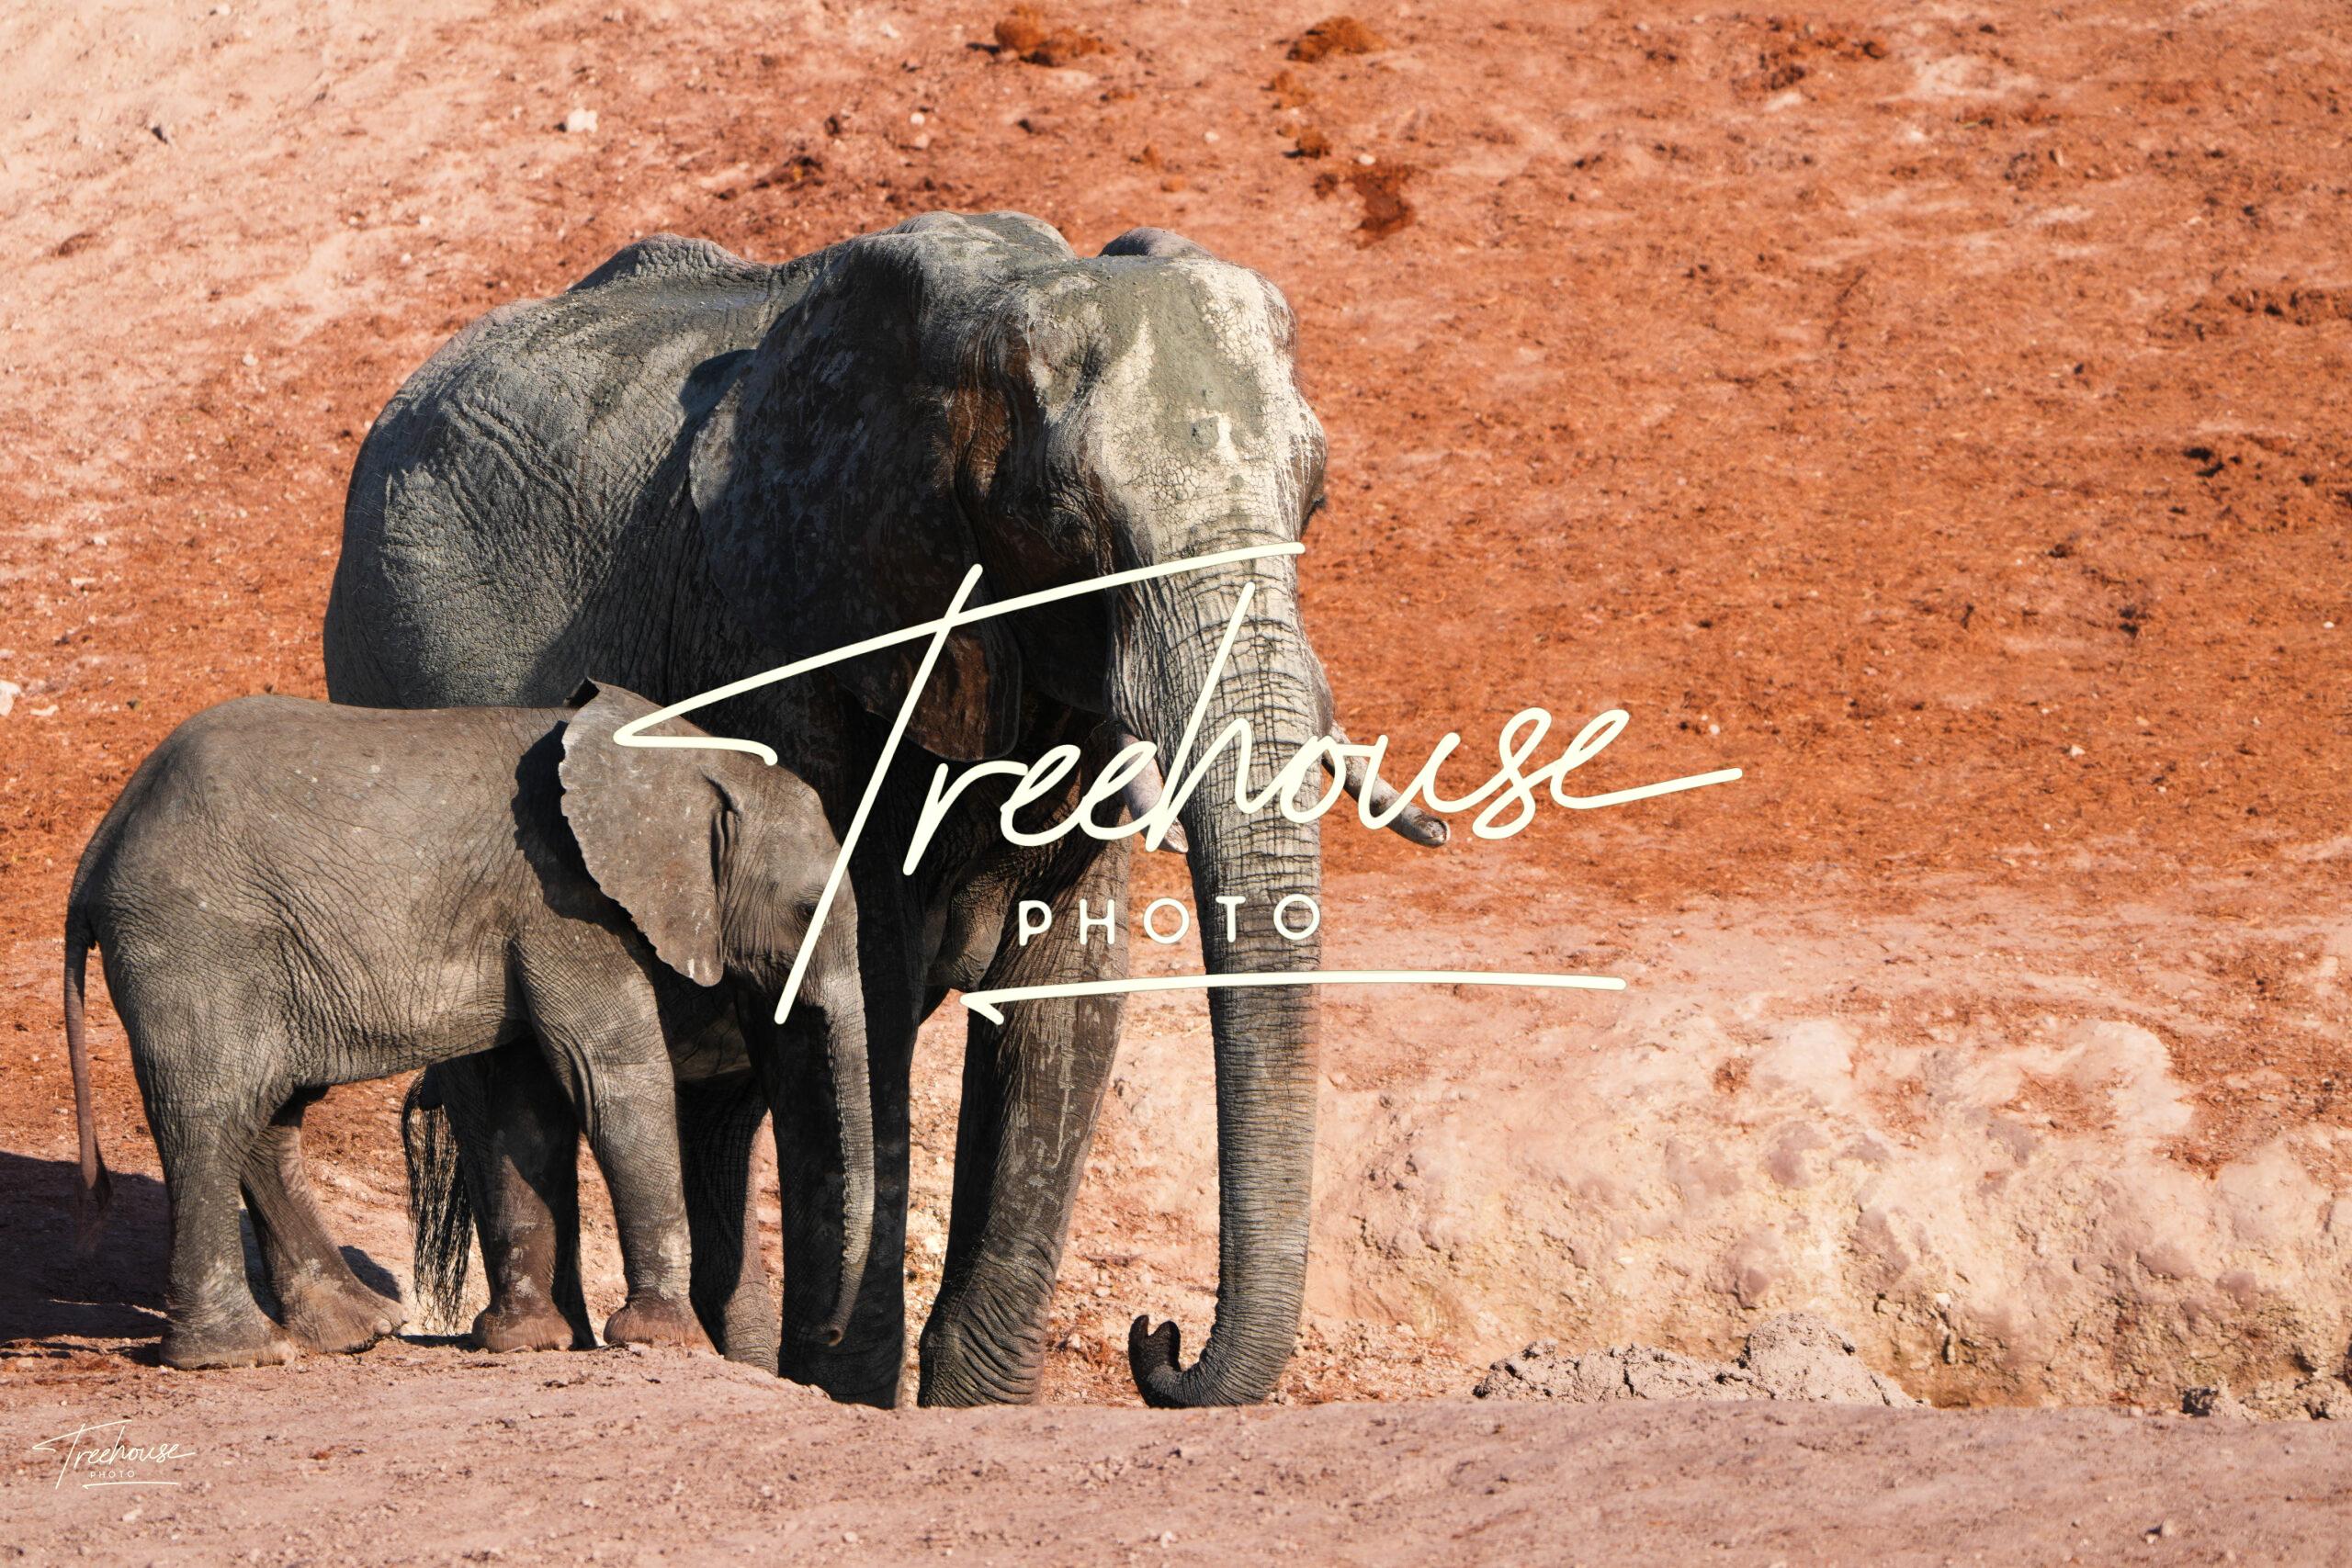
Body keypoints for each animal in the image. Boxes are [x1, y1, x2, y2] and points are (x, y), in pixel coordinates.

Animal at [61, 682, 874, 1371]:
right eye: (806, 908)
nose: (831, 1333)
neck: (682, 757)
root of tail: (99, 847)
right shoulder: (565, 903)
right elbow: (614, 1078)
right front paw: (664, 1340)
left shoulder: (535, 919)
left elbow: (527, 1106)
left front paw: (526, 1343)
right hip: (194, 941)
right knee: (211, 1113)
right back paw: (239, 1354)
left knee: (267, 1116)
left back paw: (356, 1330)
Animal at [322, 210, 1445, 1407]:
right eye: (1069, 528)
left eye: (1314, 504)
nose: (1159, 1341)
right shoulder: (801, 646)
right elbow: (859, 997)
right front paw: (852, 1387)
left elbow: (1066, 1006)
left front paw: (970, 1406)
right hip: (394, 675)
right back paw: (548, 1342)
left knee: (719, 1099)